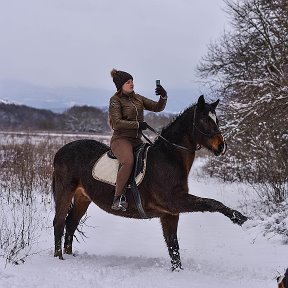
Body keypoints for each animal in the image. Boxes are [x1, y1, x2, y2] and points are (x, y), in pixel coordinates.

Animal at [51, 94, 248, 270]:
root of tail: (60, 152)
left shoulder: (170, 213)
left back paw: (70, 256)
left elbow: (173, 247)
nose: (221, 147)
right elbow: (211, 203)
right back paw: (59, 259)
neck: (168, 158)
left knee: (71, 224)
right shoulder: (175, 201)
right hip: (65, 191)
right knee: (59, 223)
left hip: (83, 197)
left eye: (217, 120)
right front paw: (239, 218)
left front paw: (177, 271)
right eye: (203, 120)